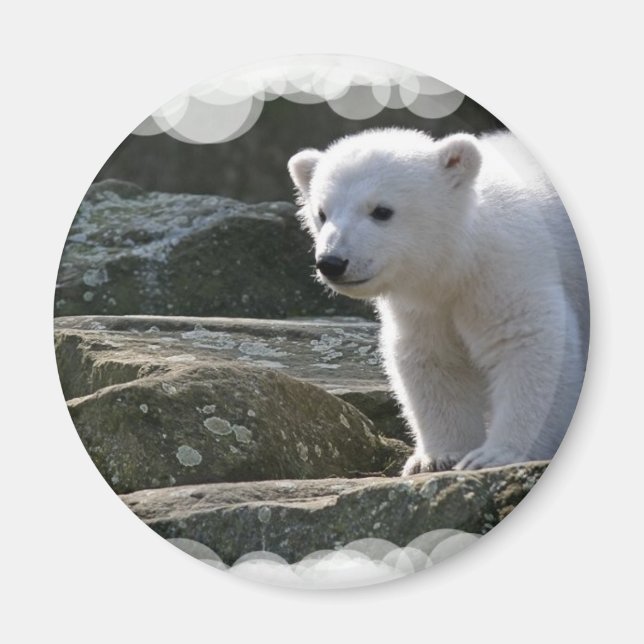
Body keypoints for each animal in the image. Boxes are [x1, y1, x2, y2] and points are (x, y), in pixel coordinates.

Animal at [288, 127, 589, 473]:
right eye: (322, 213)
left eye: (381, 211)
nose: (332, 262)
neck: (459, 258)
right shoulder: (422, 306)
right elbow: (430, 358)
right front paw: (437, 458)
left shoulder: (509, 269)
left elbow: (529, 343)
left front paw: (494, 454)